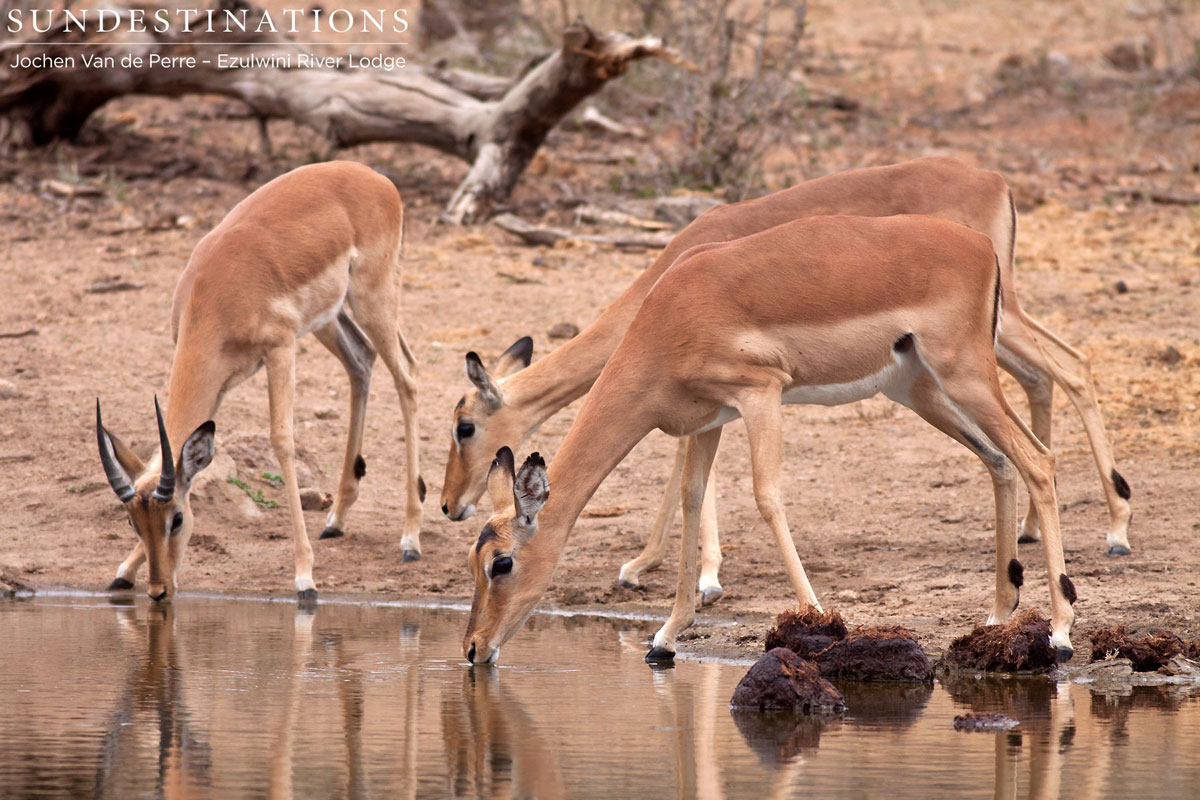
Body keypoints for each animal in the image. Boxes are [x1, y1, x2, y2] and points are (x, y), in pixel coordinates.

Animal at [95, 161, 424, 603]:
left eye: (177, 518)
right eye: (132, 522)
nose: (159, 590)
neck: (213, 294)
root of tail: (372, 175)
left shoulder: (280, 350)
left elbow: (282, 441)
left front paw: (304, 578)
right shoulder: (218, 382)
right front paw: (124, 571)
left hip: (372, 298)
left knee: (407, 375)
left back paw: (410, 540)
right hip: (329, 318)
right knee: (362, 361)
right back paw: (335, 519)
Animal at [442, 157, 1131, 607]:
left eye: (464, 425)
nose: (449, 505)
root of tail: (995, 183)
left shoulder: (745, 394)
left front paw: (700, 575)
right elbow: (687, 467)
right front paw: (649, 566)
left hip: (984, 343)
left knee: (1068, 374)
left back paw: (1115, 536)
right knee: (1044, 387)